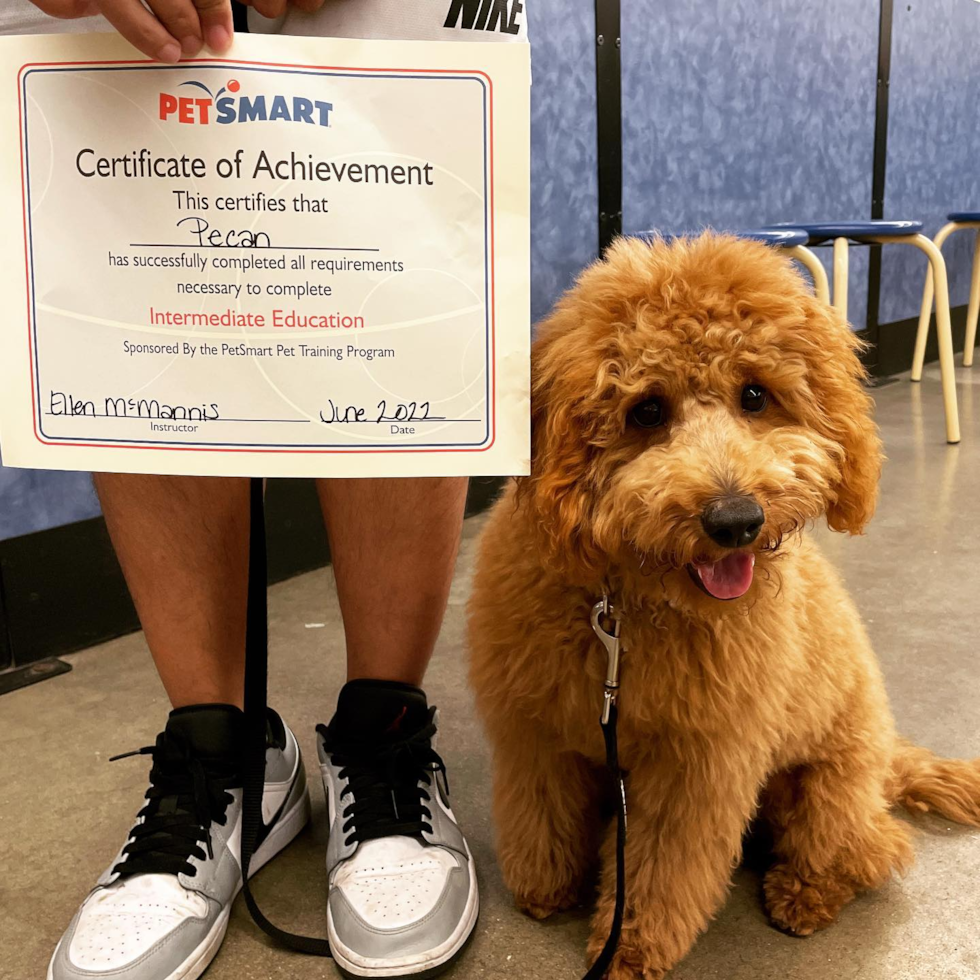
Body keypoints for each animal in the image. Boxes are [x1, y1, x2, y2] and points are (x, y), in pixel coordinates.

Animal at [466, 234, 980, 976]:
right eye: (647, 411)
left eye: (756, 395)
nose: (737, 520)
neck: (626, 610)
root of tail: (890, 758)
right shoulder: (539, 731)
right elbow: (541, 809)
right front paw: (545, 886)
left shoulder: (697, 768)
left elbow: (664, 867)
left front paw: (629, 948)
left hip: (826, 789)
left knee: (870, 851)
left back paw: (805, 894)